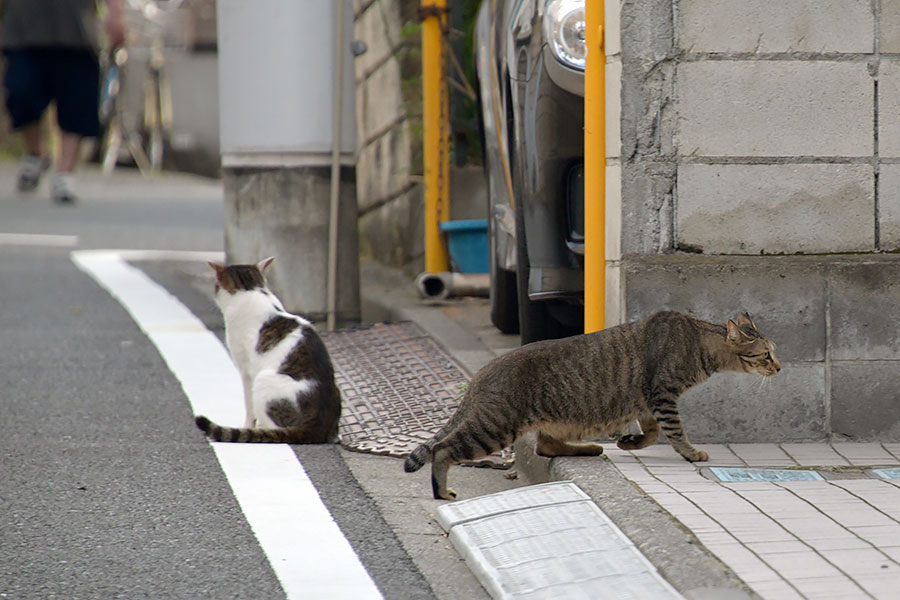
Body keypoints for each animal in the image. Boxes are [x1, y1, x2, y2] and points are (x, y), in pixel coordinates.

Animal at [193, 258, 342, 446]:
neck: (251, 289)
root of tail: (316, 424)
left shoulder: (246, 371)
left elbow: (248, 405)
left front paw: (247, 426)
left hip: (263, 379)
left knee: (275, 430)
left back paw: (258, 430)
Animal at [408, 312, 780, 500]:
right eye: (765, 354)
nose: (778, 367)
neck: (699, 343)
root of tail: (481, 372)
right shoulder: (662, 395)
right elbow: (674, 431)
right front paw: (691, 452)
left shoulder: (647, 402)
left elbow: (652, 433)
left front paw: (629, 442)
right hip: (495, 426)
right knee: (443, 449)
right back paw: (442, 492)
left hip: (552, 421)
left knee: (545, 446)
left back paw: (591, 448)